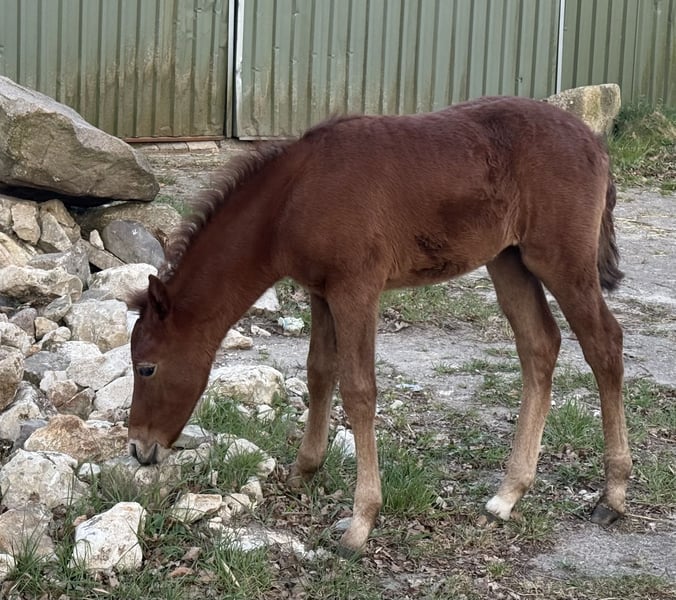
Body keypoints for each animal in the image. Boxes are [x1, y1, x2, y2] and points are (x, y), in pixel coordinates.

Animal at [127, 96, 631, 555]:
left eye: (147, 367)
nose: (138, 447)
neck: (294, 196)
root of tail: (594, 142)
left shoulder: (356, 291)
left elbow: (358, 390)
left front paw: (360, 524)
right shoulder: (321, 292)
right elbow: (319, 372)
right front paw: (304, 470)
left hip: (561, 260)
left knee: (604, 343)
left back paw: (613, 496)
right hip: (509, 260)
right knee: (539, 345)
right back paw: (507, 495)